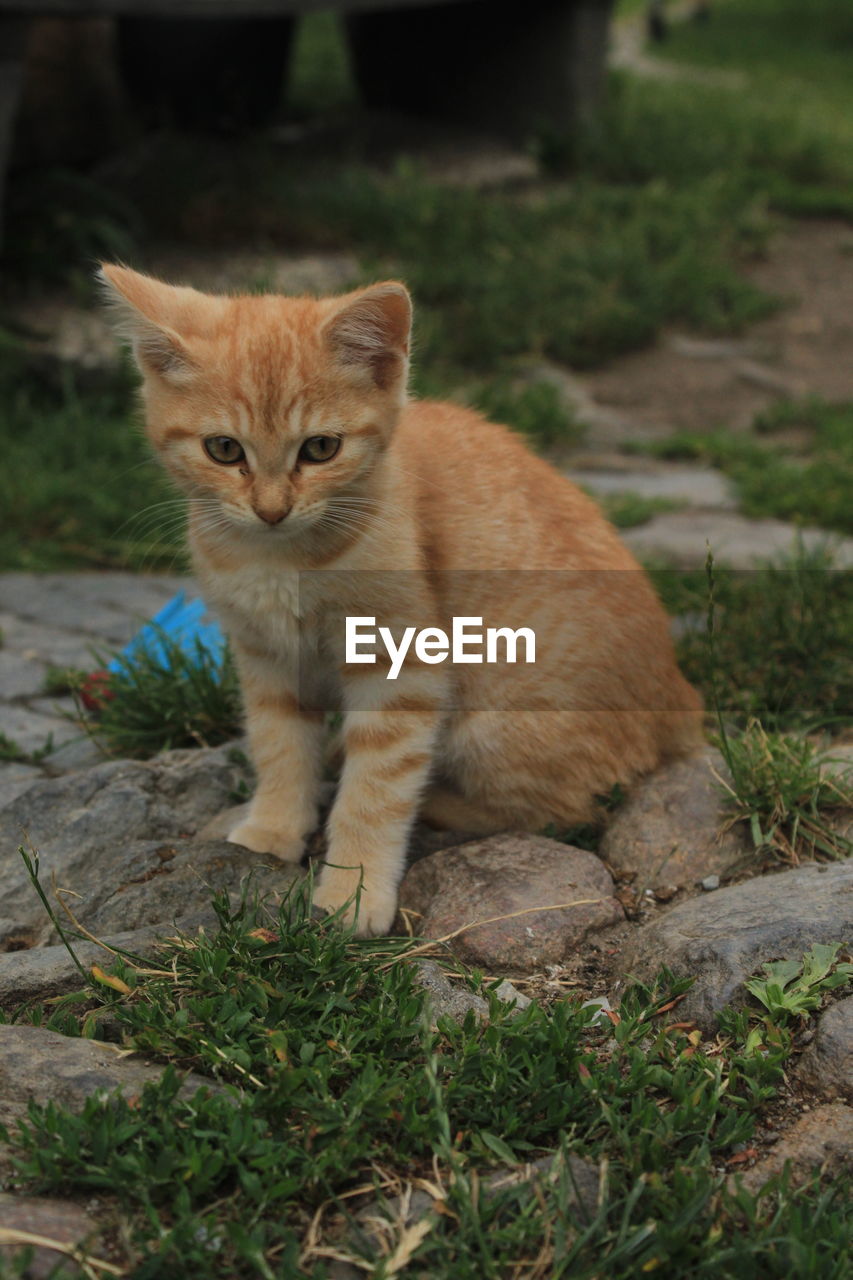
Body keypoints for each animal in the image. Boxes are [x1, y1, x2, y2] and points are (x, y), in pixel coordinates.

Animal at [101, 264, 696, 936]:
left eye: (321, 449)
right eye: (224, 450)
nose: (272, 509)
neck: (282, 559)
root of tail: (680, 693)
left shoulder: (402, 667)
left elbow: (375, 790)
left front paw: (351, 894)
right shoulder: (265, 657)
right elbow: (278, 745)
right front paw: (275, 827)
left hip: (498, 725)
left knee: (564, 806)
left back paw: (438, 800)